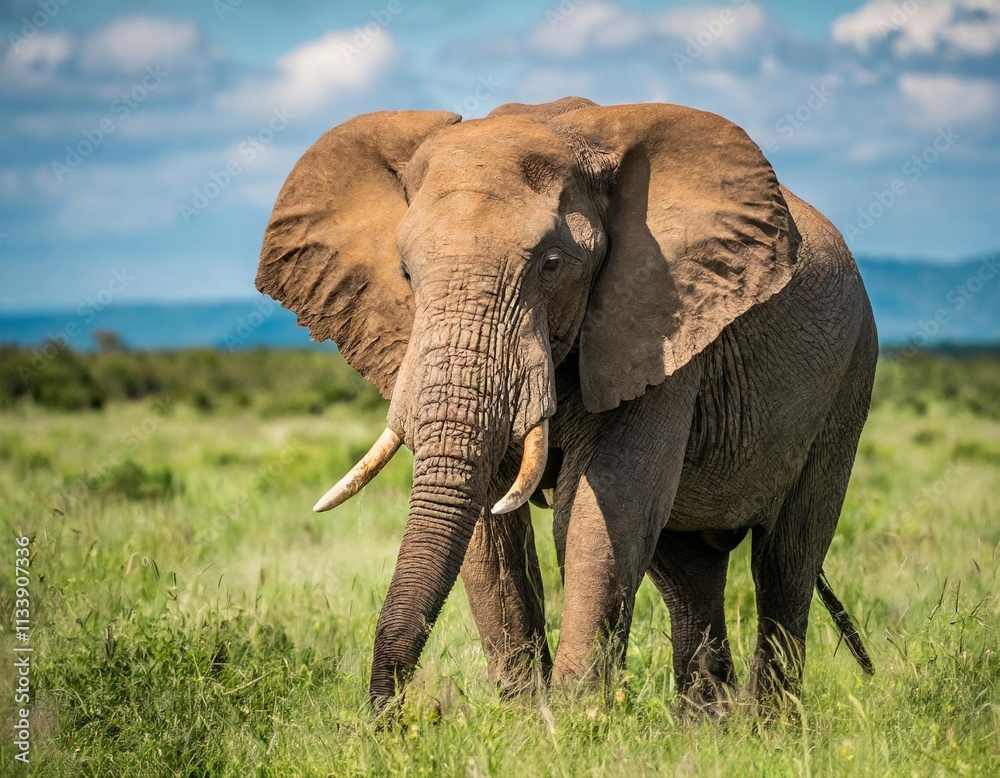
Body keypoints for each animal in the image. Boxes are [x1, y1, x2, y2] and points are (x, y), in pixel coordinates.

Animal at [256, 96, 876, 715]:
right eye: (406, 273)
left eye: (552, 264)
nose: (388, 717)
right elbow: (490, 527)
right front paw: (528, 720)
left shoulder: (660, 326)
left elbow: (601, 510)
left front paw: (576, 722)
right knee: (687, 571)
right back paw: (708, 726)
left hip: (849, 378)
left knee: (785, 562)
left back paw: (769, 726)